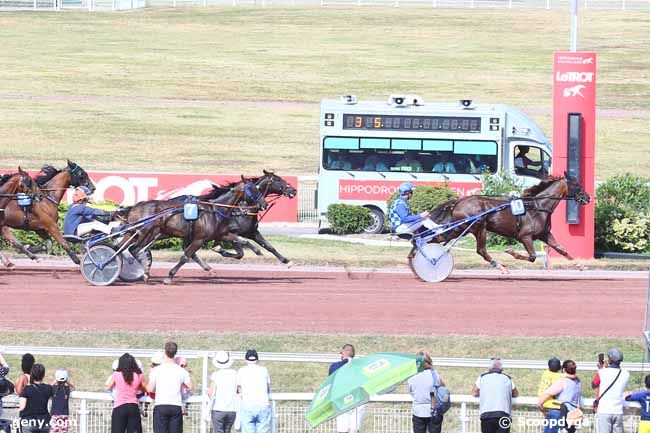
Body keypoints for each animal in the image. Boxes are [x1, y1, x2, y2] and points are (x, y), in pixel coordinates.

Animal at [118, 176, 266, 284]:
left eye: (258, 188)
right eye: (253, 190)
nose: (264, 204)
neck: (213, 210)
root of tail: (133, 207)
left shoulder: (220, 234)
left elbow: (242, 242)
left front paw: (258, 251)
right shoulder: (199, 239)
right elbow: (185, 256)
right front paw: (169, 277)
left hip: (135, 233)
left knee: (122, 247)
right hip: (147, 233)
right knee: (134, 249)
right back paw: (145, 271)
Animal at [422, 171, 588, 270]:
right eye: (576, 184)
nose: (587, 197)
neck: (537, 207)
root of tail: (459, 201)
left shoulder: (544, 234)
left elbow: (561, 249)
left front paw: (579, 264)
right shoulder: (525, 236)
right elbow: (532, 257)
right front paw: (511, 252)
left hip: (460, 229)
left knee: (436, 239)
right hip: (478, 227)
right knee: (481, 250)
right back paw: (499, 266)